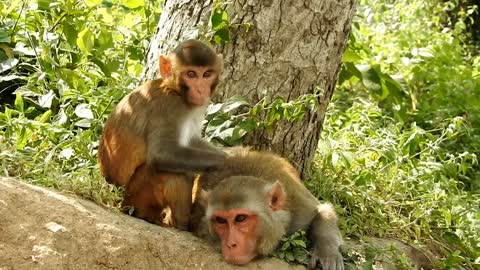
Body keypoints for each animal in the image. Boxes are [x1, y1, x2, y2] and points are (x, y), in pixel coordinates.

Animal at [97, 39, 227, 230]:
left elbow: (191, 140)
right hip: (135, 196)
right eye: (191, 74)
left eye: (207, 74)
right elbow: (162, 154)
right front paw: (229, 161)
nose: (201, 90)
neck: (173, 89)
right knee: (169, 171)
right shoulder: (169, 106)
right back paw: (179, 222)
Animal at [189, 148, 344, 270]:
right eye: (220, 220)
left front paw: (327, 251)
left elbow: (322, 211)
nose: (230, 244)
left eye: (241, 218)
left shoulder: (299, 207)